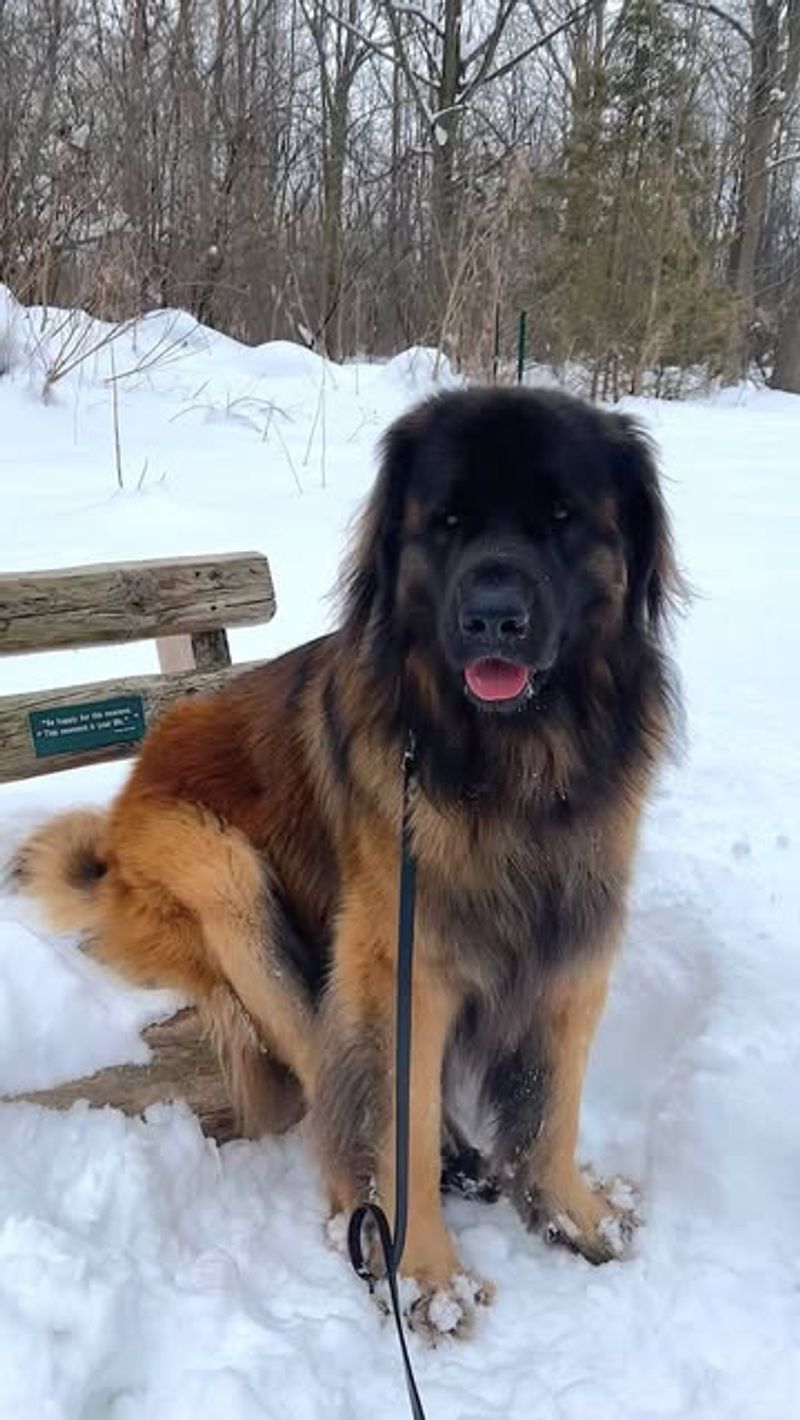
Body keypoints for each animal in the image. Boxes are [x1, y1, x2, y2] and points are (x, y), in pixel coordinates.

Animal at [15, 386, 679, 1329]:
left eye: (561, 517)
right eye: (448, 521)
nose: (494, 620)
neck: (505, 766)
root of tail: (107, 842)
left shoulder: (577, 933)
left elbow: (555, 1104)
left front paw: (573, 1215)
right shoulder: (400, 963)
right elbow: (394, 1117)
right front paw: (427, 1275)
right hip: (225, 878)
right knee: (321, 1063)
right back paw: (367, 1205)